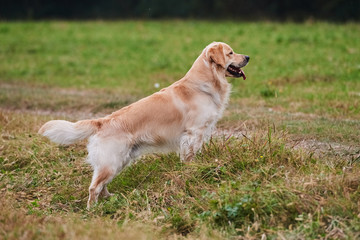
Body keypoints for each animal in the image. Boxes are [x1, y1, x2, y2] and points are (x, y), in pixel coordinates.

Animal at [38, 41, 249, 208]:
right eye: (230, 53)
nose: (247, 56)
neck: (203, 84)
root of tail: (102, 121)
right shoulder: (193, 133)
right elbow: (189, 157)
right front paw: (192, 169)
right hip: (111, 161)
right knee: (94, 187)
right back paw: (92, 210)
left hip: (119, 160)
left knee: (101, 185)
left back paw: (110, 198)